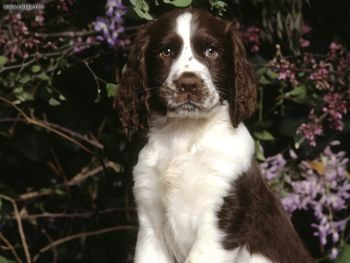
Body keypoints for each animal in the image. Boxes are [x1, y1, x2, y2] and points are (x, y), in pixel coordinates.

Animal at [115, 8, 314, 263]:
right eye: (166, 51)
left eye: (212, 51)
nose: (188, 84)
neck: (184, 135)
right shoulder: (150, 221)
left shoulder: (222, 216)